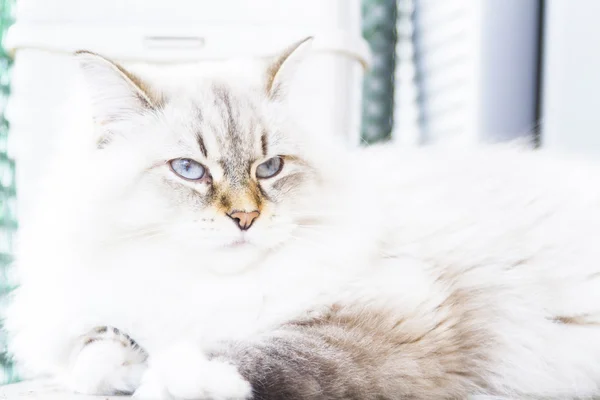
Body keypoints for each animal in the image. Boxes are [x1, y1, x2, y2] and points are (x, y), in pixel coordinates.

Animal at [3, 36, 600, 396]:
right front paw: (129, 366)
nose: (245, 218)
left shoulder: (392, 316)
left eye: (270, 168)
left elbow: (272, 354)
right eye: (189, 170)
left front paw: (177, 377)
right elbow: (93, 350)